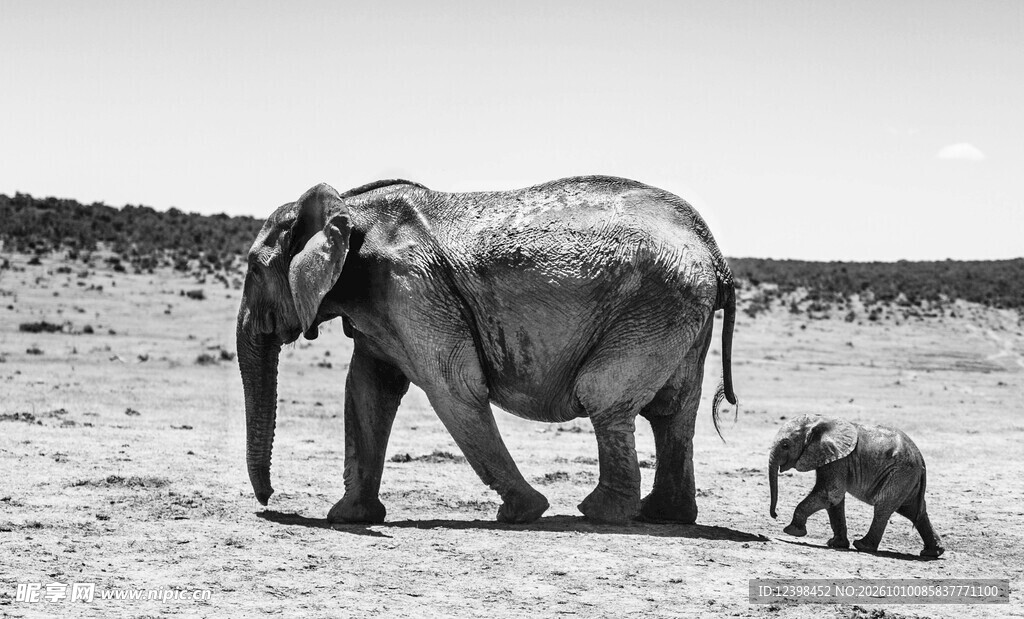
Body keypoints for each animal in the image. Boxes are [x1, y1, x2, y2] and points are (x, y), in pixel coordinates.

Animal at [237, 175, 738, 526]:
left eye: (255, 269)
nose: (271, 499)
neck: (350, 209)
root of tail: (714, 252)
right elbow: (367, 392)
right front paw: (347, 518)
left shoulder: (413, 289)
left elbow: (455, 389)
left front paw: (524, 512)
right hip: (681, 311)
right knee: (673, 411)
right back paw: (664, 516)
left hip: (655, 304)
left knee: (605, 397)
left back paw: (599, 513)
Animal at [768, 415, 944, 557]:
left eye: (785, 445)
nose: (775, 515)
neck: (819, 420)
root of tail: (921, 459)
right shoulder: (832, 457)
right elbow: (834, 501)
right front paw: (836, 544)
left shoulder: (839, 460)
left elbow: (831, 493)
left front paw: (792, 531)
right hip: (908, 478)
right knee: (913, 511)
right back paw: (932, 552)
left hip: (900, 474)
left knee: (883, 508)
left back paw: (862, 546)